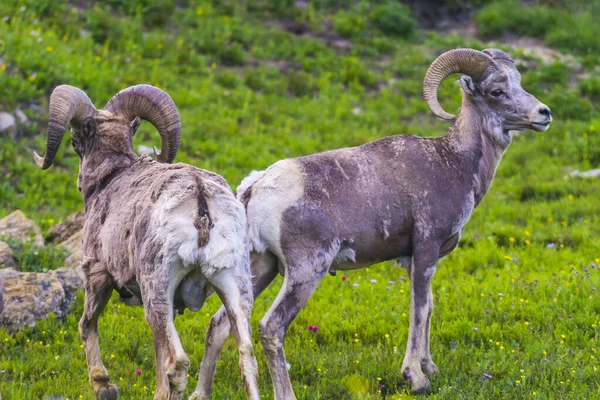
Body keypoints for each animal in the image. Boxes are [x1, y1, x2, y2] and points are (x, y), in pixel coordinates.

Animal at [32, 85, 258, 400]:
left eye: (76, 139)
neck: (111, 176)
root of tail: (201, 201)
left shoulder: (97, 274)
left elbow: (87, 324)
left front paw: (103, 385)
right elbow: (157, 349)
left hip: (158, 290)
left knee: (178, 362)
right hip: (233, 287)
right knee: (246, 353)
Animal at [193, 47, 552, 396]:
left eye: (518, 82)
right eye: (497, 91)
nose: (544, 114)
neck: (453, 163)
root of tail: (256, 188)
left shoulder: (417, 259)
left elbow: (429, 307)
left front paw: (430, 368)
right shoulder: (425, 248)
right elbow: (418, 309)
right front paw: (416, 378)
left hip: (260, 267)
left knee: (222, 323)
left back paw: (201, 392)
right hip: (305, 270)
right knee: (271, 327)